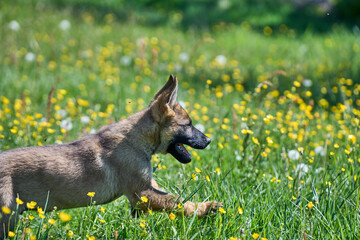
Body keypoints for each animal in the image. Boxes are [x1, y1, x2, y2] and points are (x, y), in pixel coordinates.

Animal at [0, 75, 221, 238]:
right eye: (187, 125)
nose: (209, 140)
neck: (136, 139)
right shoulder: (141, 192)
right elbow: (178, 202)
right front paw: (205, 208)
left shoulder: (145, 188)